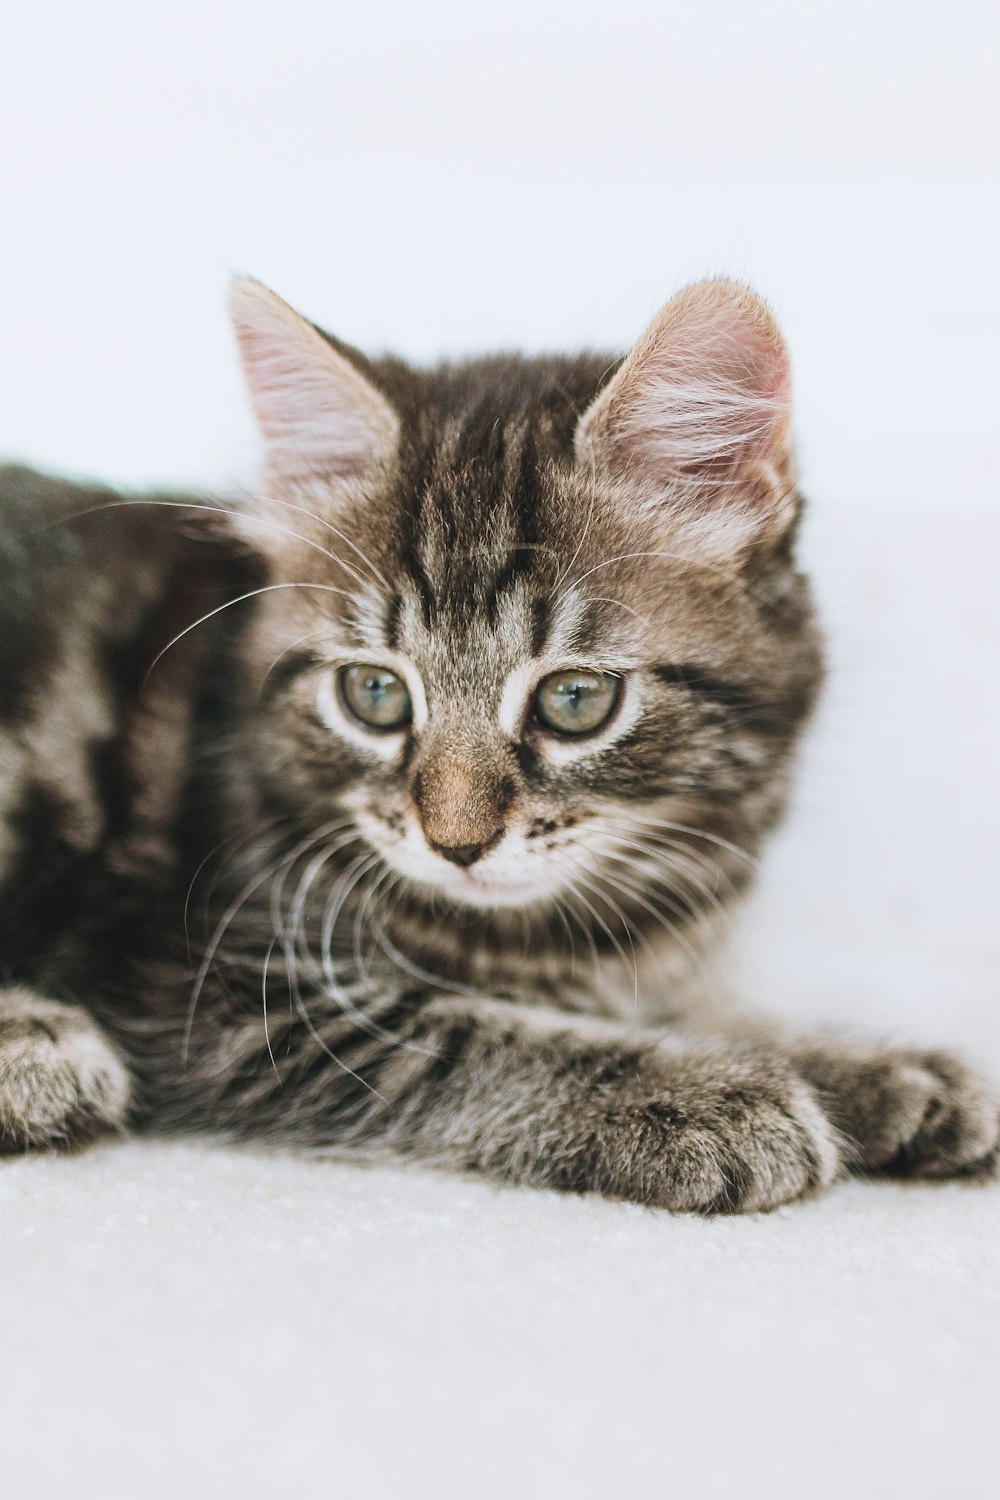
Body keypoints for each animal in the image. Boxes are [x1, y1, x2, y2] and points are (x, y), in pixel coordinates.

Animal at [0, 276, 995, 1212]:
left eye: (576, 699)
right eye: (373, 694)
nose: (457, 843)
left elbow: (708, 1008)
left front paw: (872, 1066)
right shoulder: (212, 988)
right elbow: (460, 1038)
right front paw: (702, 1095)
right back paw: (38, 1052)